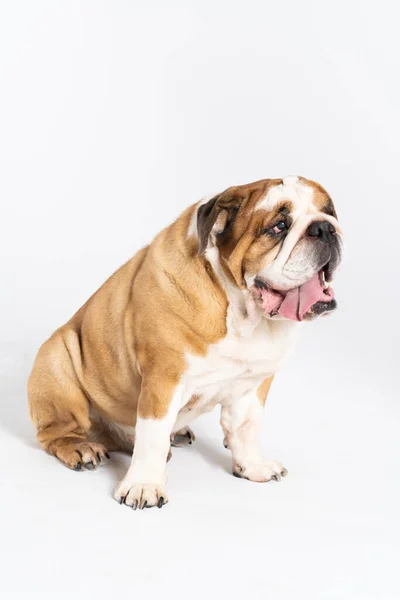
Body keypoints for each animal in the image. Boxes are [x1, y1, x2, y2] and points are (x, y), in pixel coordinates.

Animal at [27, 176, 340, 508]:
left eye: (330, 212)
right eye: (279, 226)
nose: (325, 228)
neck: (242, 313)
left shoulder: (254, 382)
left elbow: (246, 427)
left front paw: (252, 466)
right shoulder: (164, 379)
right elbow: (152, 434)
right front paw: (144, 486)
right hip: (55, 358)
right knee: (56, 432)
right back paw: (82, 448)